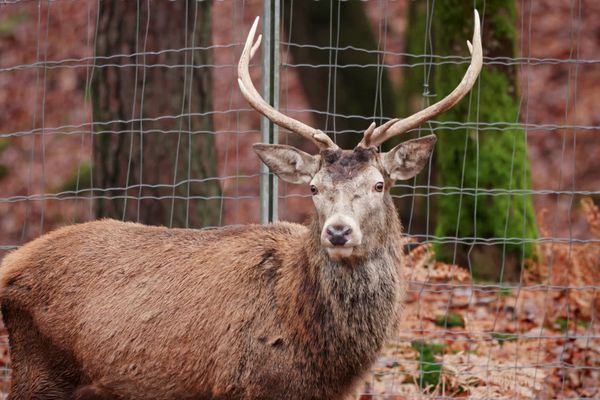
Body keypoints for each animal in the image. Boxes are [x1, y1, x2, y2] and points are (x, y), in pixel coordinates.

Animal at [0, 10, 480, 400]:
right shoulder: (244, 384)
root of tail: (11, 264)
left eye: (379, 184)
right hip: (39, 371)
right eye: (313, 188)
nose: (339, 231)